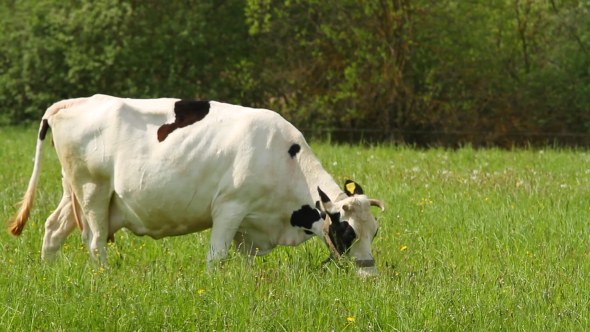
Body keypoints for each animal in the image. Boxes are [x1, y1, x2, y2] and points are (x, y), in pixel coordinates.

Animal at [10, 94, 388, 274]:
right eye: (347, 233)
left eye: (374, 232)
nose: (369, 275)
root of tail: (73, 102)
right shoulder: (230, 208)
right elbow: (216, 258)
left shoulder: (250, 227)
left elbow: (245, 264)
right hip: (93, 192)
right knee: (94, 242)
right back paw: (104, 278)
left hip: (72, 191)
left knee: (53, 229)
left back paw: (49, 274)